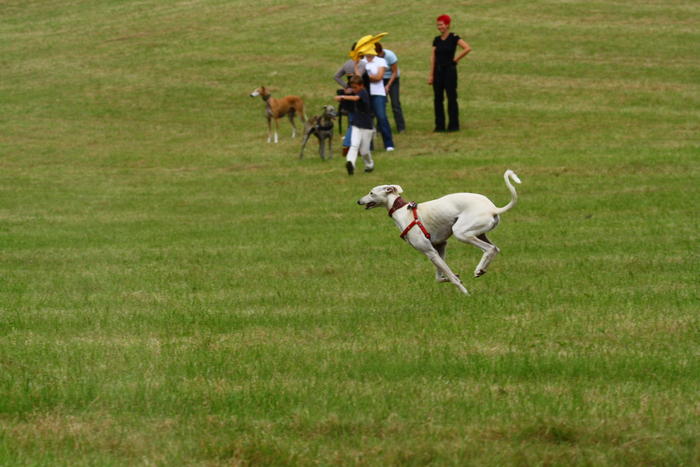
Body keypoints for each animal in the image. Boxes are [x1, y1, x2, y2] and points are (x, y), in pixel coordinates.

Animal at [358, 170, 524, 294]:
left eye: (371, 193)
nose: (358, 201)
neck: (402, 211)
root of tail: (493, 208)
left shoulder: (430, 252)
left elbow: (451, 277)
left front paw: (465, 292)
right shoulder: (440, 247)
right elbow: (440, 277)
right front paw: (450, 277)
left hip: (461, 232)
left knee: (489, 249)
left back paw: (478, 269)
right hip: (478, 233)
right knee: (495, 248)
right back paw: (481, 269)